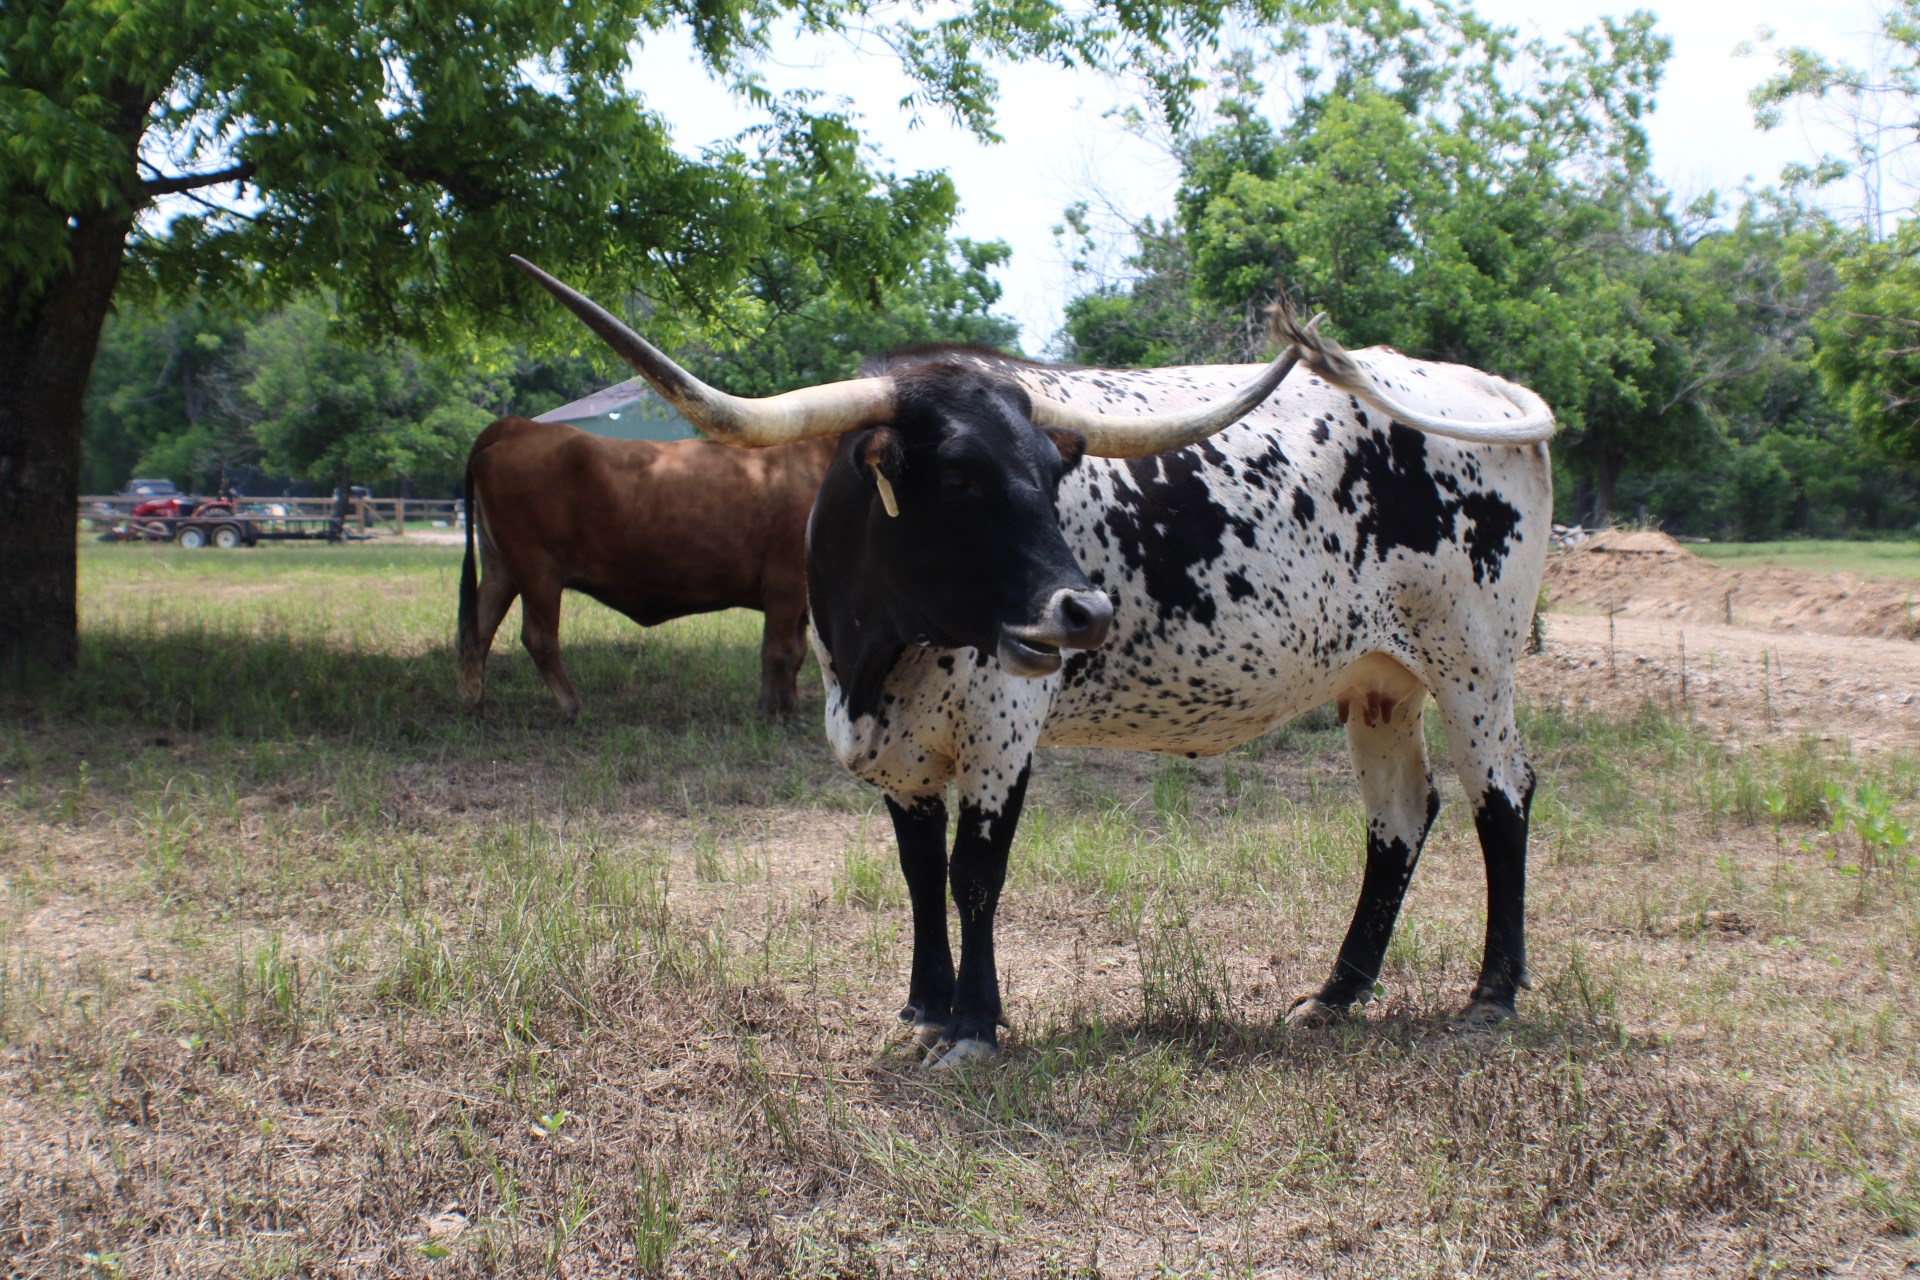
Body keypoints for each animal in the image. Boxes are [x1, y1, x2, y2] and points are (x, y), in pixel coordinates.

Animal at [456, 416, 834, 719]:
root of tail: (520, 426)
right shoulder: (785, 586)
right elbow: (778, 651)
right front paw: (771, 712)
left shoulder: (801, 602)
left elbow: (797, 653)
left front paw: (790, 707)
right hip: (537, 570)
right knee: (538, 638)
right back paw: (572, 705)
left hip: (501, 568)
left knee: (479, 629)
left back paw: (475, 700)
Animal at [511, 256, 1556, 1068]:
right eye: (959, 477)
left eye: (1053, 475)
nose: (1085, 609)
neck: (880, 656)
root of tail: (1484, 390)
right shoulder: (901, 754)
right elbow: (917, 872)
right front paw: (922, 1006)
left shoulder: (999, 737)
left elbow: (975, 873)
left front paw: (974, 1024)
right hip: (1381, 680)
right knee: (1398, 819)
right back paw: (1336, 994)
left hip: (1474, 662)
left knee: (1502, 797)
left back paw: (1491, 996)